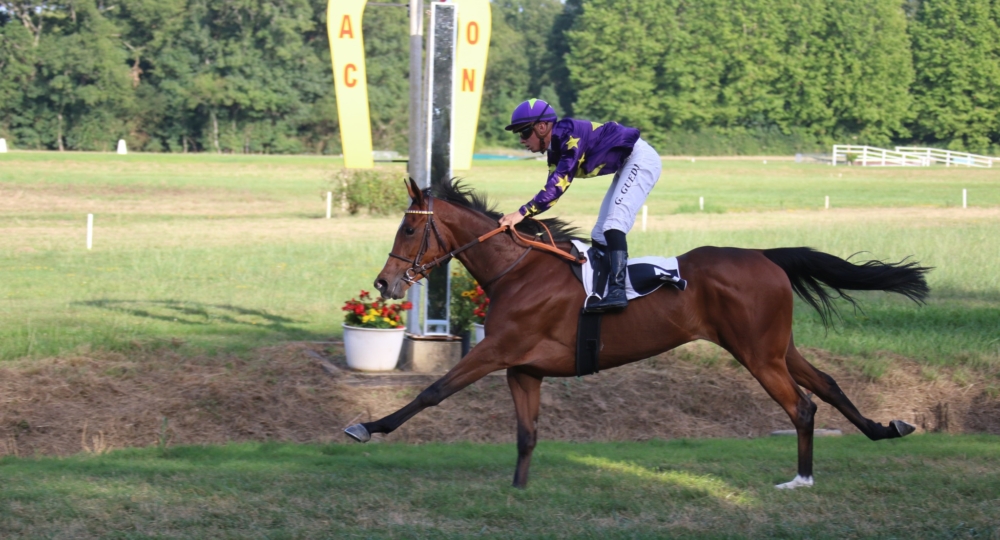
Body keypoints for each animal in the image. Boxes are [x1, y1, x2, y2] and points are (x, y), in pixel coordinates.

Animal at [344, 179, 928, 492]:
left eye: (409, 228)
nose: (384, 282)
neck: (519, 271)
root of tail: (765, 255)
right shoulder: (523, 368)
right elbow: (526, 434)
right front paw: (518, 490)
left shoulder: (496, 350)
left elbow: (432, 391)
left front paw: (366, 427)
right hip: (777, 346)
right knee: (827, 382)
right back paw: (885, 428)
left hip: (757, 353)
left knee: (803, 406)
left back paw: (801, 479)